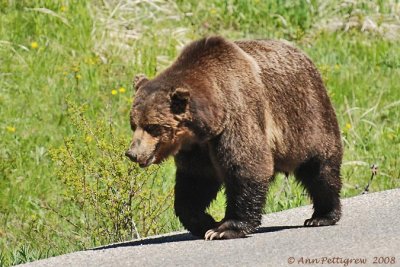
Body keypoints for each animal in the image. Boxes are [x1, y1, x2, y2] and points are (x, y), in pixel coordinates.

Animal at [126, 36, 344, 241]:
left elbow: (246, 166)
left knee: (320, 169)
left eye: (152, 127)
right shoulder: (197, 147)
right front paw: (206, 222)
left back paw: (321, 216)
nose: (132, 153)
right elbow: (195, 182)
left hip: (307, 117)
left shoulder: (236, 116)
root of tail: (302, 54)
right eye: (133, 125)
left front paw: (224, 229)